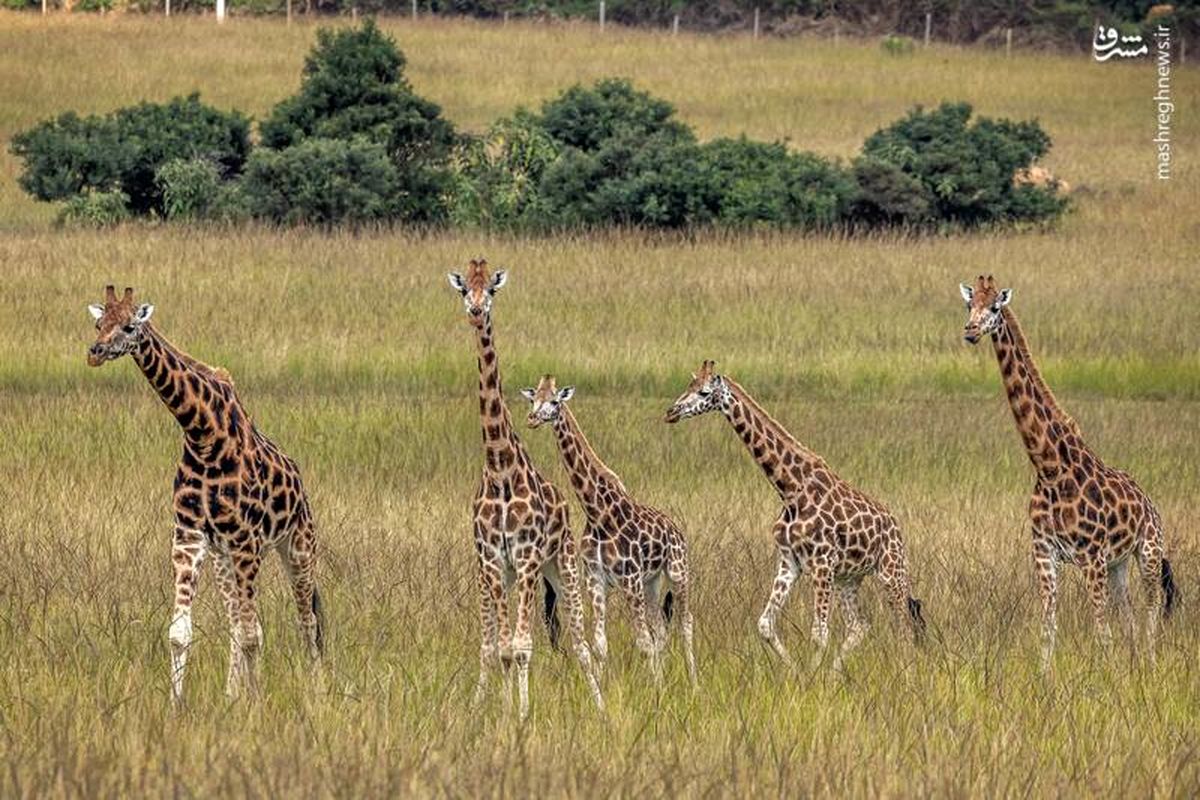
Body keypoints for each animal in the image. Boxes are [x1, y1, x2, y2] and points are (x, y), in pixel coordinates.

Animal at [84, 284, 324, 705]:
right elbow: (181, 633)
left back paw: (317, 689)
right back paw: (231, 695)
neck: (202, 435)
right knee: (236, 622)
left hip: (297, 547)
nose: (95, 352)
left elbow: (253, 634)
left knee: (306, 621)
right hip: (223, 558)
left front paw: (256, 702)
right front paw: (178, 705)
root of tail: (300, 482)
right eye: (99, 323)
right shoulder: (190, 536)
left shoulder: (246, 540)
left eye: (130, 326)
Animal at [448, 257, 604, 719]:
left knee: (582, 643)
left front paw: (521, 715)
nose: (476, 311)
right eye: (463, 289)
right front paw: (501, 712)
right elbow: (501, 648)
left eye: (492, 290)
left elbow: (521, 646)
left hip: (562, 565)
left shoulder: (528, 556)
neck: (500, 467)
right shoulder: (495, 560)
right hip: (517, 575)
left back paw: (601, 707)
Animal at [662, 362, 921, 671]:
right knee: (860, 625)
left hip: (891, 571)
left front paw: (811, 678)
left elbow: (819, 633)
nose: (671, 412)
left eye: (703, 392)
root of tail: (896, 526)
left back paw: (906, 672)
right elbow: (765, 624)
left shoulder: (822, 562)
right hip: (848, 579)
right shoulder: (790, 562)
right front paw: (796, 672)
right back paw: (836, 672)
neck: (789, 490)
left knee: (905, 627)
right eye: (687, 386)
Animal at [960, 272, 1176, 671]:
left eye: (995, 306)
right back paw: (1135, 663)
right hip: (1118, 564)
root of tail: (1148, 501)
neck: (1049, 466)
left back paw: (1151, 663)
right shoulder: (1044, 552)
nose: (970, 331)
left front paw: (1107, 678)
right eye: (969, 305)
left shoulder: (1091, 556)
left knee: (1152, 606)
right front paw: (1044, 678)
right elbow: (1049, 626)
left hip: (1149, 551)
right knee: (1128, 612)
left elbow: (1101, 631)